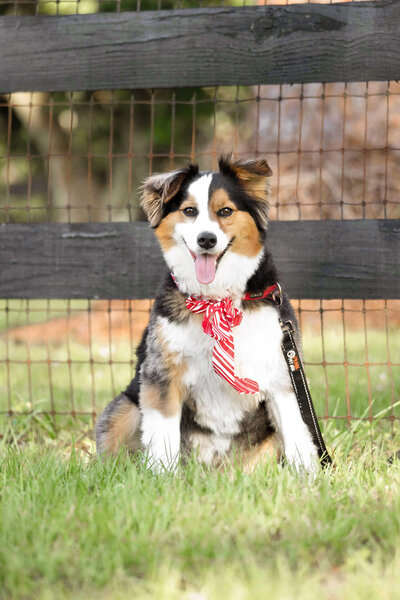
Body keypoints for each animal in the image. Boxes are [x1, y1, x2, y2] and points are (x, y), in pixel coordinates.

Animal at [96, 156, 318, 474]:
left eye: (225, 211)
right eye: (189, 211)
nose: (206, 239)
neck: (217, 299)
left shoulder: (282, 375)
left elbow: (297, 435)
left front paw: (308, 479)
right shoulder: (162, 376)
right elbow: (163, 436)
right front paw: (163, 477)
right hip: (124, 407)